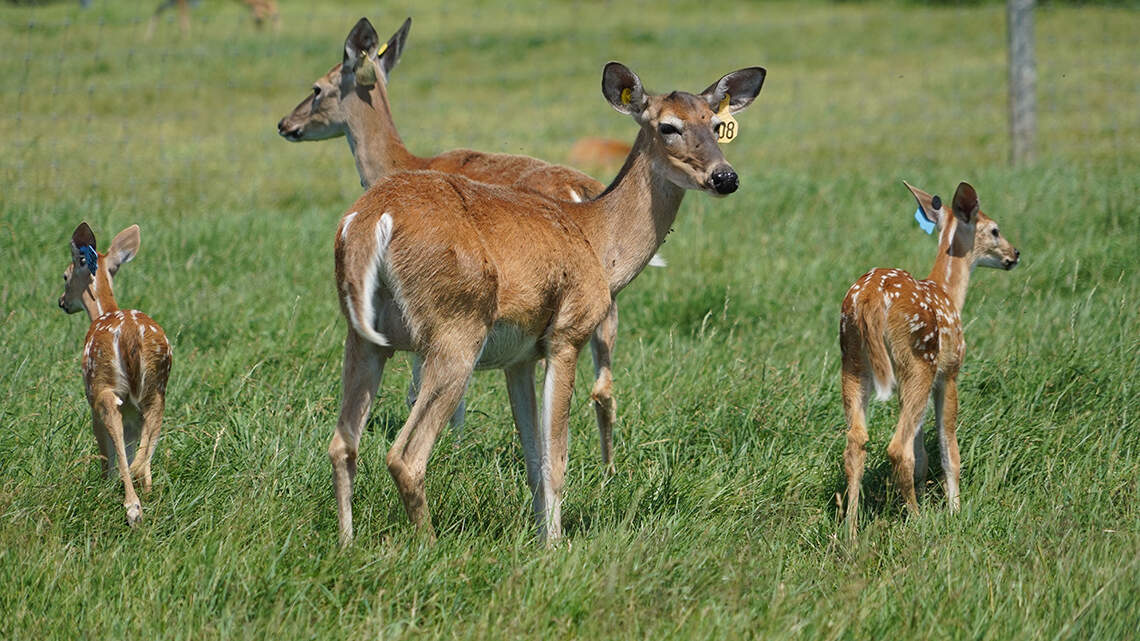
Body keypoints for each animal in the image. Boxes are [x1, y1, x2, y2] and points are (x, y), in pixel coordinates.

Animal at [58, 223, 173, 526]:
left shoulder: (93, 400)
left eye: (65, 275)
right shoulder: (133, 411)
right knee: (145, 450)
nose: (62, 302)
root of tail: (131, 333)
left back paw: (131, 506)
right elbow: (134, 444)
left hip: (102, 386)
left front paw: (105, 485)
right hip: (157, 390)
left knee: (119, 442)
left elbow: (107, 447)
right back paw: (144, 491)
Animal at [278, 17, 641, 471]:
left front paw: (455, 448)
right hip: (603, 297)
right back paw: (608, 470)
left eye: (317, 88)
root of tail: (583, 188)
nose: (285, 124)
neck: (401, 163)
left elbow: (424, 385)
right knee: (604, 383)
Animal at [327, 61, 766, 546]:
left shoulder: (518, 358)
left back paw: (346, 544)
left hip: (366, 337)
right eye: (668, 126)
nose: (725, 177)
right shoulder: (567, 334)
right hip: (455, 328)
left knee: (342, 443)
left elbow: (533, 460)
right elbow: (556, 460)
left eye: (716, 125)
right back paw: (429, 545)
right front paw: (555, 546)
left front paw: (541, 537)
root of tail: (370, 220)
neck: (598, 240)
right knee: (405, 456)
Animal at [839, 181, 1020, 538]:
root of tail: (869, 299)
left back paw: (850, 530)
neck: (948, 292)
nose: (1015, 254)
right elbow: (949, 450)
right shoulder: (949, 373)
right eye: (995, 229)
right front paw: (955, 510)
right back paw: (917, 520)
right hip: (919, 360)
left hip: (852, 362)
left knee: (857, 443)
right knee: (898, 448)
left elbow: (923, 453)